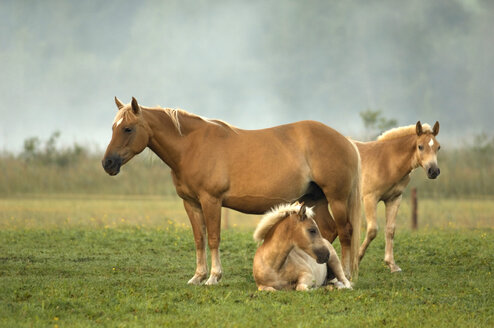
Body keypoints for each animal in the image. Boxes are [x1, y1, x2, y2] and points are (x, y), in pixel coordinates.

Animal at [102, 97, 360, 284]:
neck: (191, 147)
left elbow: (213, 238)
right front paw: (197, 277)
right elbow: (199, 238)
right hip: (317, 199)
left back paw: (346, 275)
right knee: (328, 230)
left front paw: (214, 277)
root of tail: (347, 141)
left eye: (127, 129)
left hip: (336, 198)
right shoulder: (191, 203)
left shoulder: (211, 201)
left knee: (345, 232)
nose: (107, 163)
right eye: (113, 128)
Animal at [354, 121, 442, 272]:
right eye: (420, 146)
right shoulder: (370, 199)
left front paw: (392, 265)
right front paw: (356, 261)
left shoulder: (394, 199)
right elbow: (372, 230)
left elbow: (390, 230)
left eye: (438, 147)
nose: (434, 171)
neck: (386, 162)